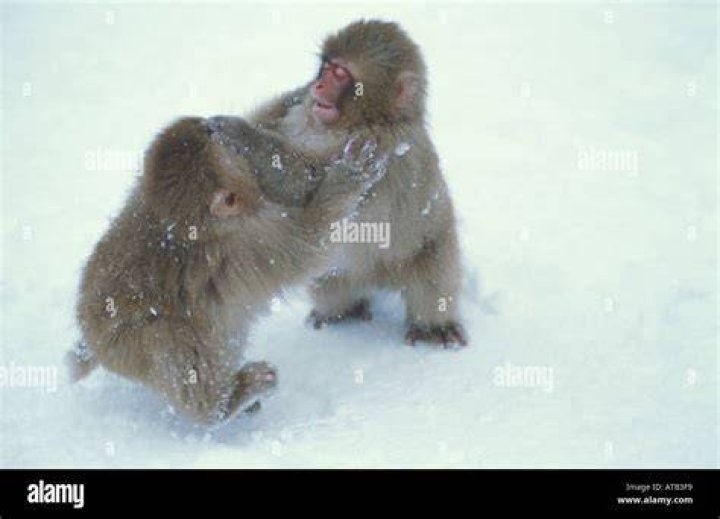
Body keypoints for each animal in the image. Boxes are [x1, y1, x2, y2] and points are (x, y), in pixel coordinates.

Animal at [67, 116, 385, 425]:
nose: (208, 124)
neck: (188, 226)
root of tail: (92, 337)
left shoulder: (143, 194)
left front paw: (240, 131)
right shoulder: (249, 244)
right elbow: (308, 246)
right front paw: (350, 175)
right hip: (126, 344)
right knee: (167, 338)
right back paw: (222, 406)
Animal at [247, 20, 467, 347]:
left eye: (341, 75)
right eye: (326, 67)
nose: (318, 86)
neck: (371, 119)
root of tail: (378, 277)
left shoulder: (381, 147)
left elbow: (313, 186)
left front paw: (233, 133)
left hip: (427, 246)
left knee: (433, 278)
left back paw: (433, 325)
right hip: (341, 274)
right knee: (329, 281)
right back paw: (340, 311)